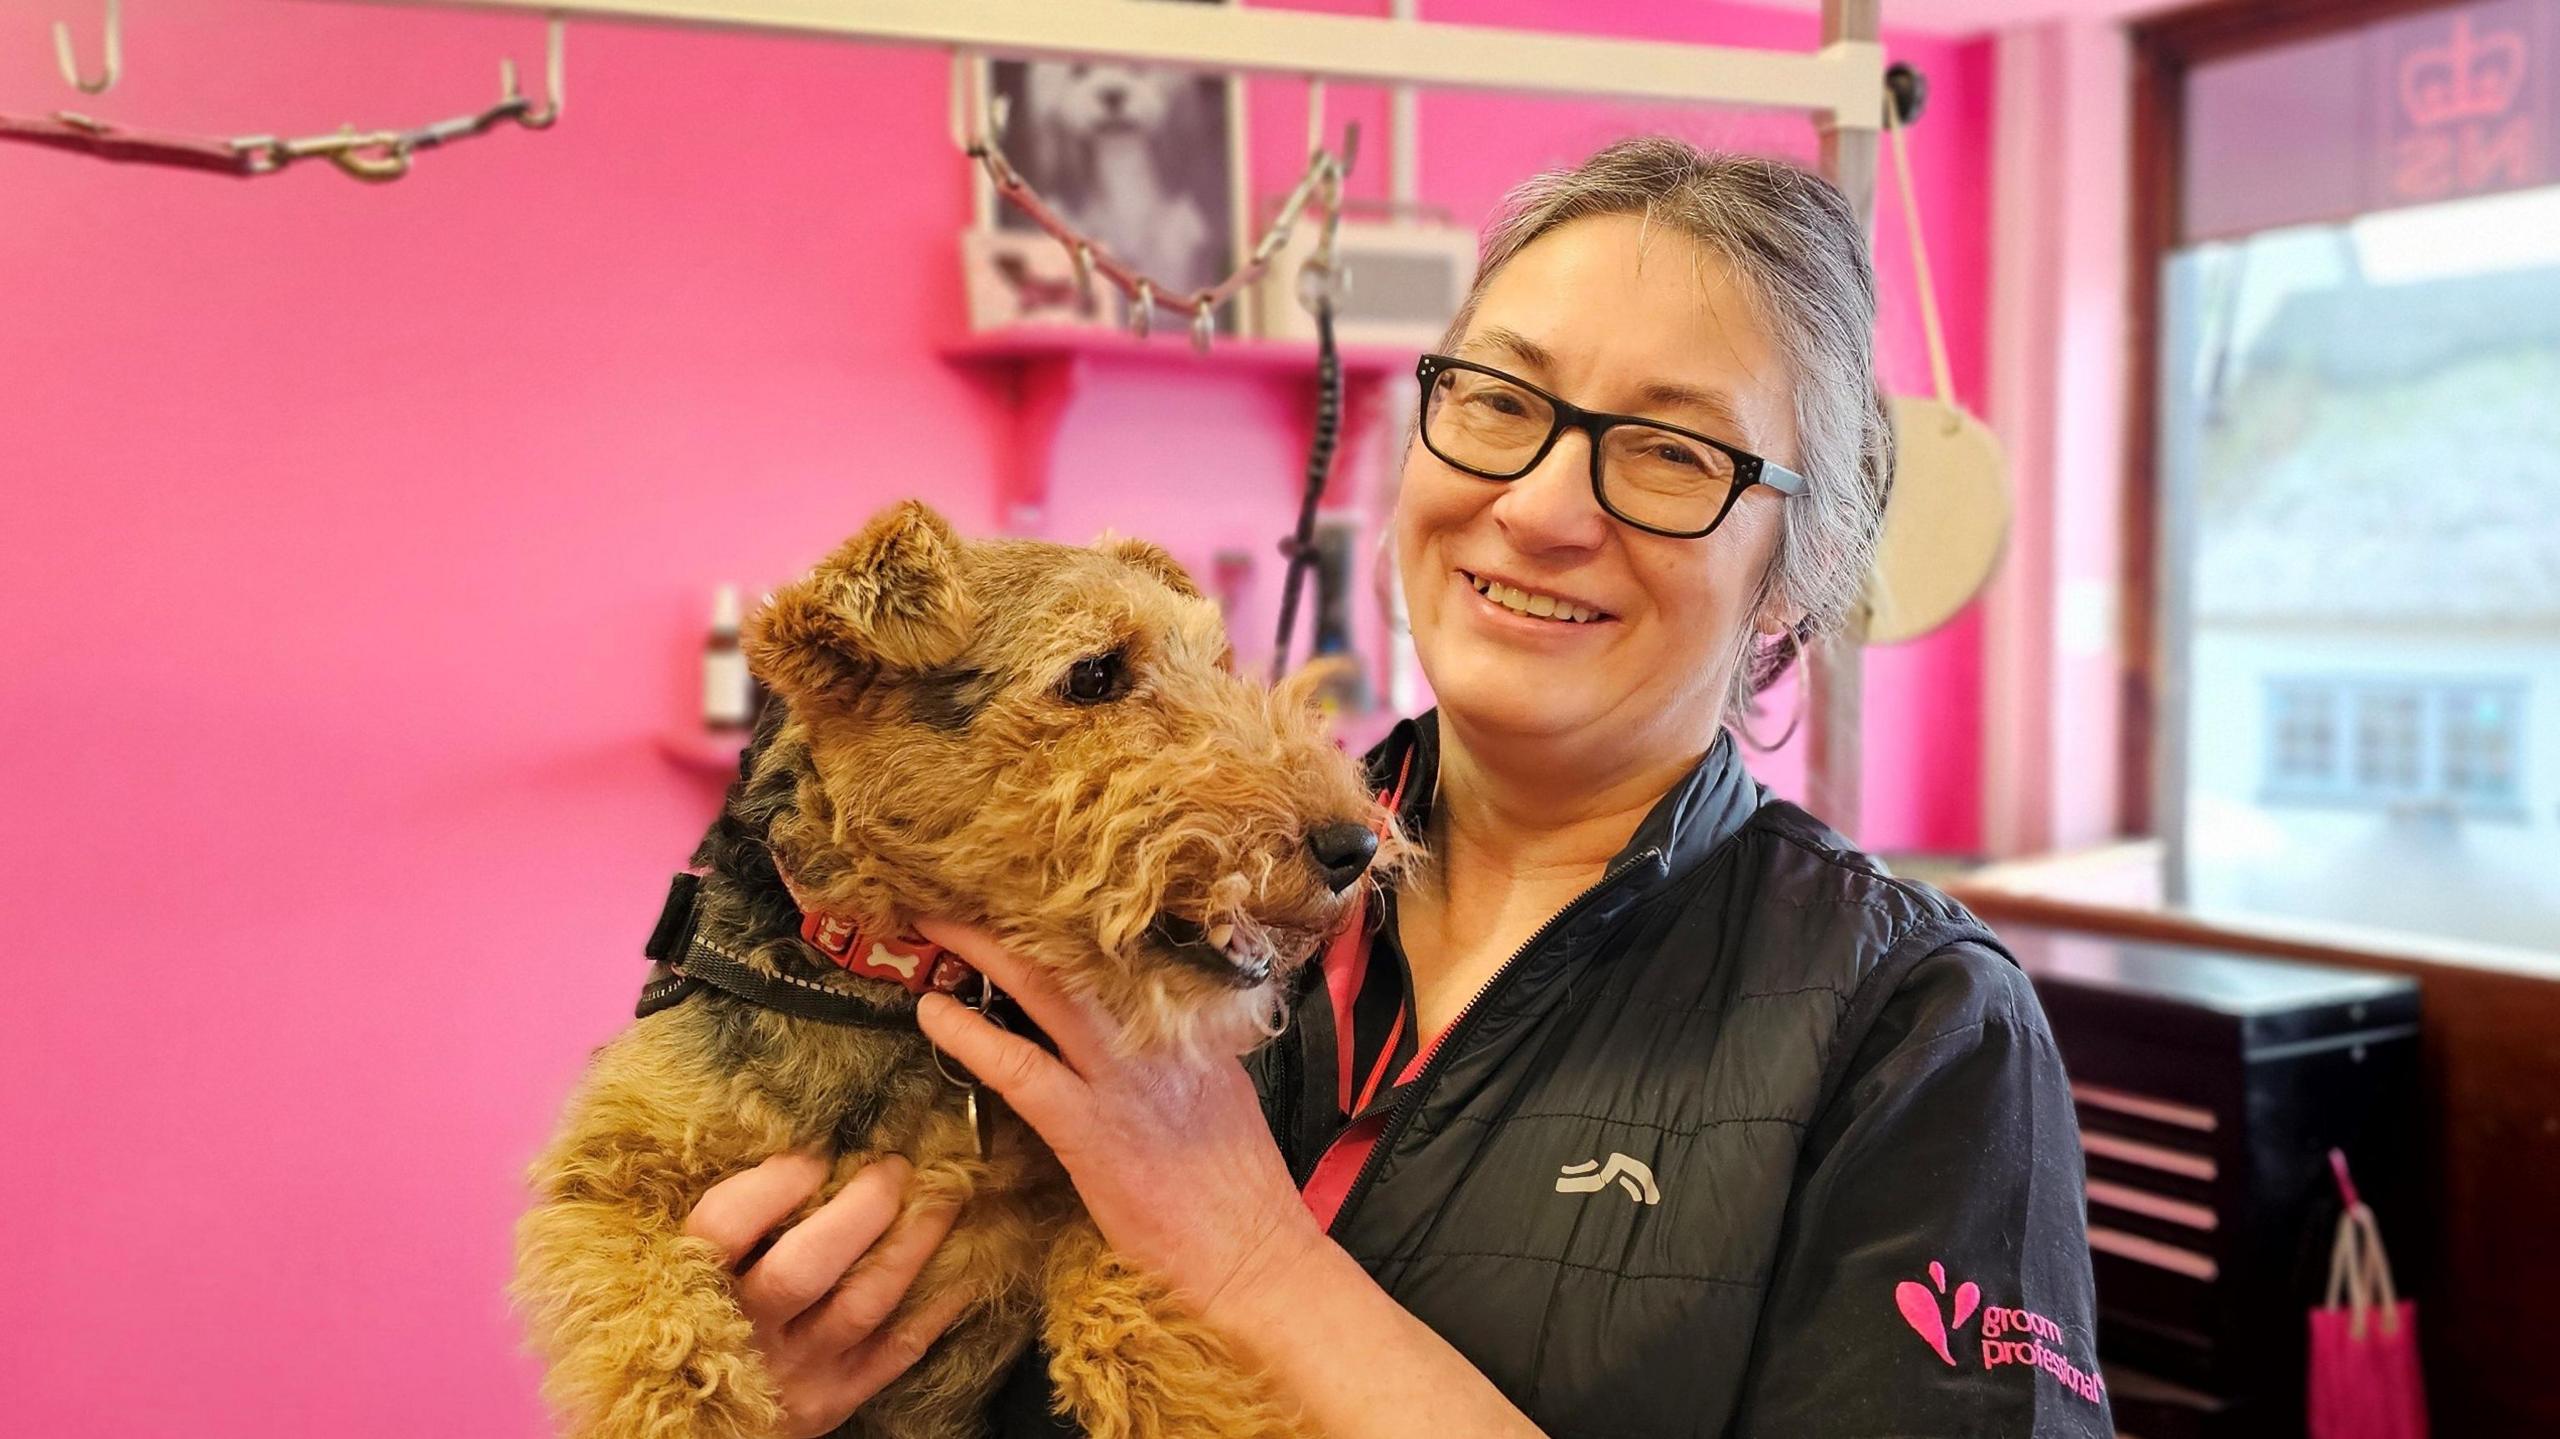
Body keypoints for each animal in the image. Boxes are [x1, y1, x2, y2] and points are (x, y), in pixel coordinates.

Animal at [517, 501, 1392, 1433]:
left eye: (1218, 661)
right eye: (1093, 674)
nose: (1355, 843)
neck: (881, 983)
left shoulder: (1084, 1196)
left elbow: (1133, 1309)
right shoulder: (604, 1175)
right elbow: (666, 1332)